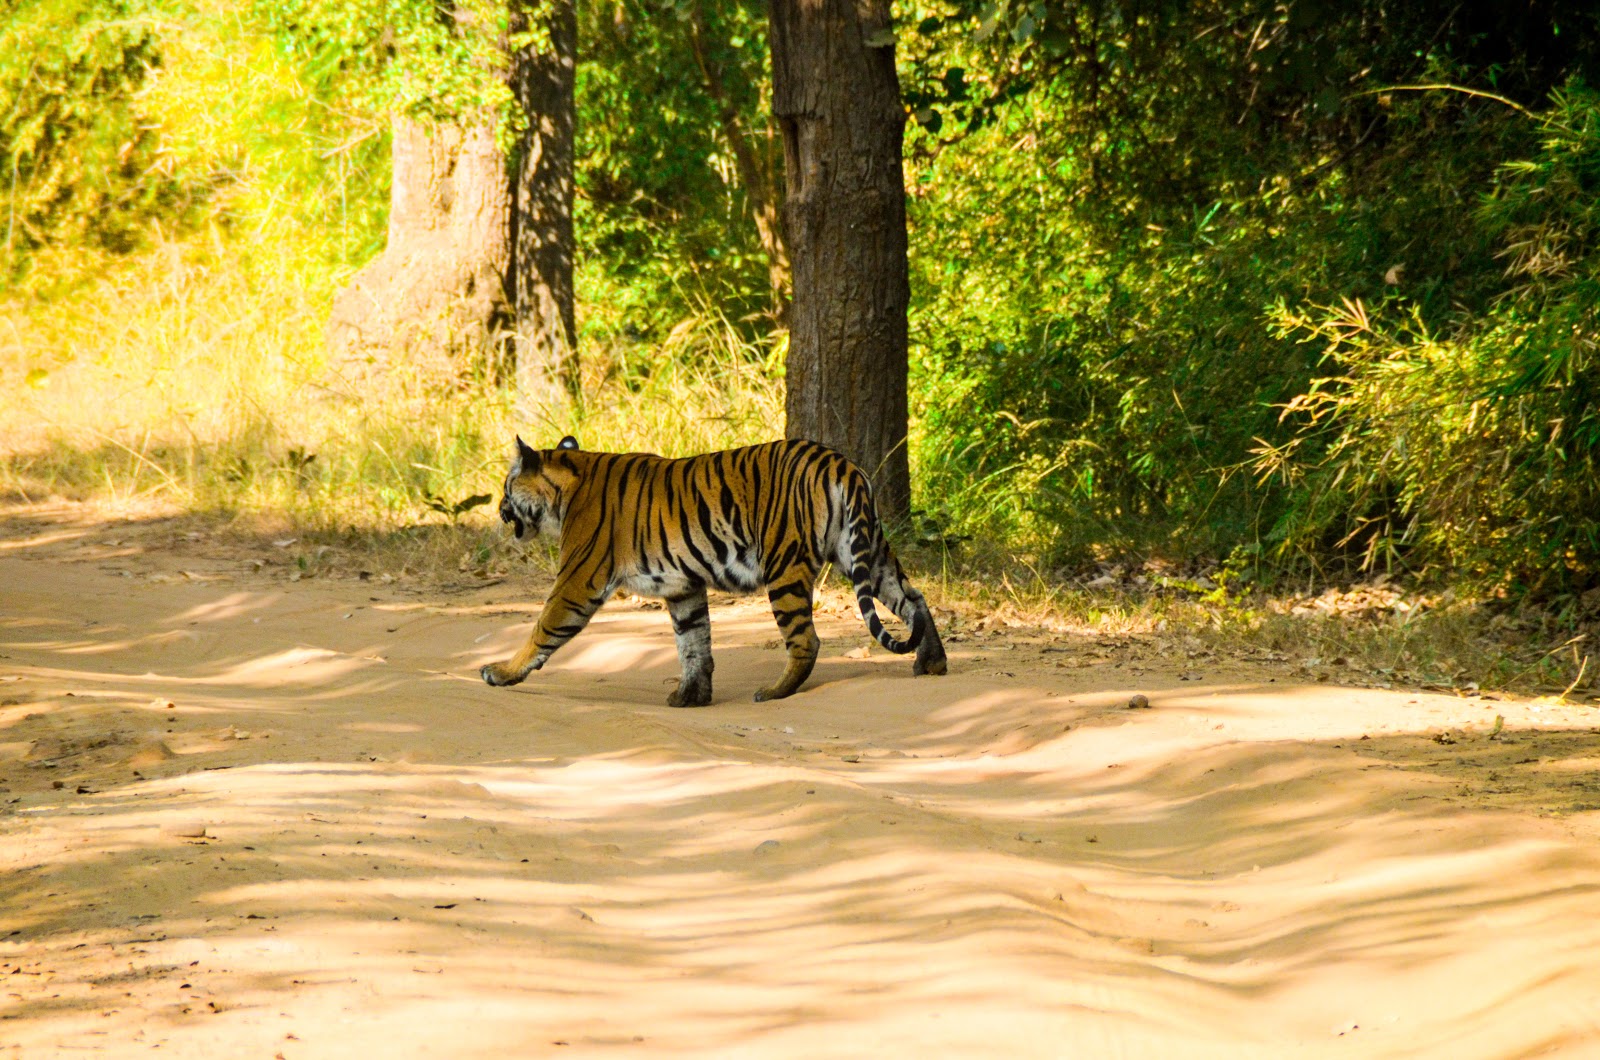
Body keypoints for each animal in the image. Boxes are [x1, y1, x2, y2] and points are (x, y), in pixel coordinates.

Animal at [480, 435, 940, 710]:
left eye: (505, 488)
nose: (499, 510)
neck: (566, 487)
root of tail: (838, 461)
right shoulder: (683, 587)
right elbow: (693, 642)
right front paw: (691, 696)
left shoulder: (578, 580)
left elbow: (542, 628)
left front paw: (501, 673)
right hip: (867, 552)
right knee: (915, 600)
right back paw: (933, 662)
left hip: (785, 565)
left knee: (806, 639)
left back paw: (774, 692)